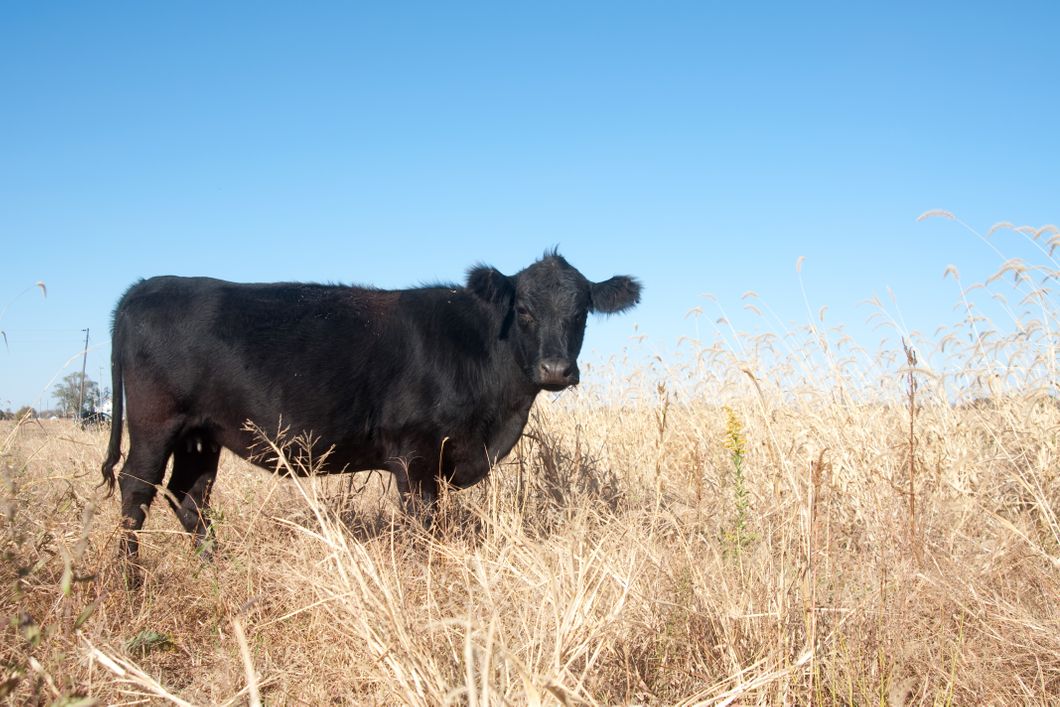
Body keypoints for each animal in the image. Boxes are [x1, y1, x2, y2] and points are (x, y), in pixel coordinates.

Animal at [100, 251, 640, 562]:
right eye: (523, 310)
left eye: (582, 311)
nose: (556, 369)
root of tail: (146, 286)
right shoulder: (415, 454)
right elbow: (424, 523)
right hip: (155, 422)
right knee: (137, 489)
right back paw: (131, 581)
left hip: (202, 434)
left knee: (190, 496)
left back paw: (214, 567)